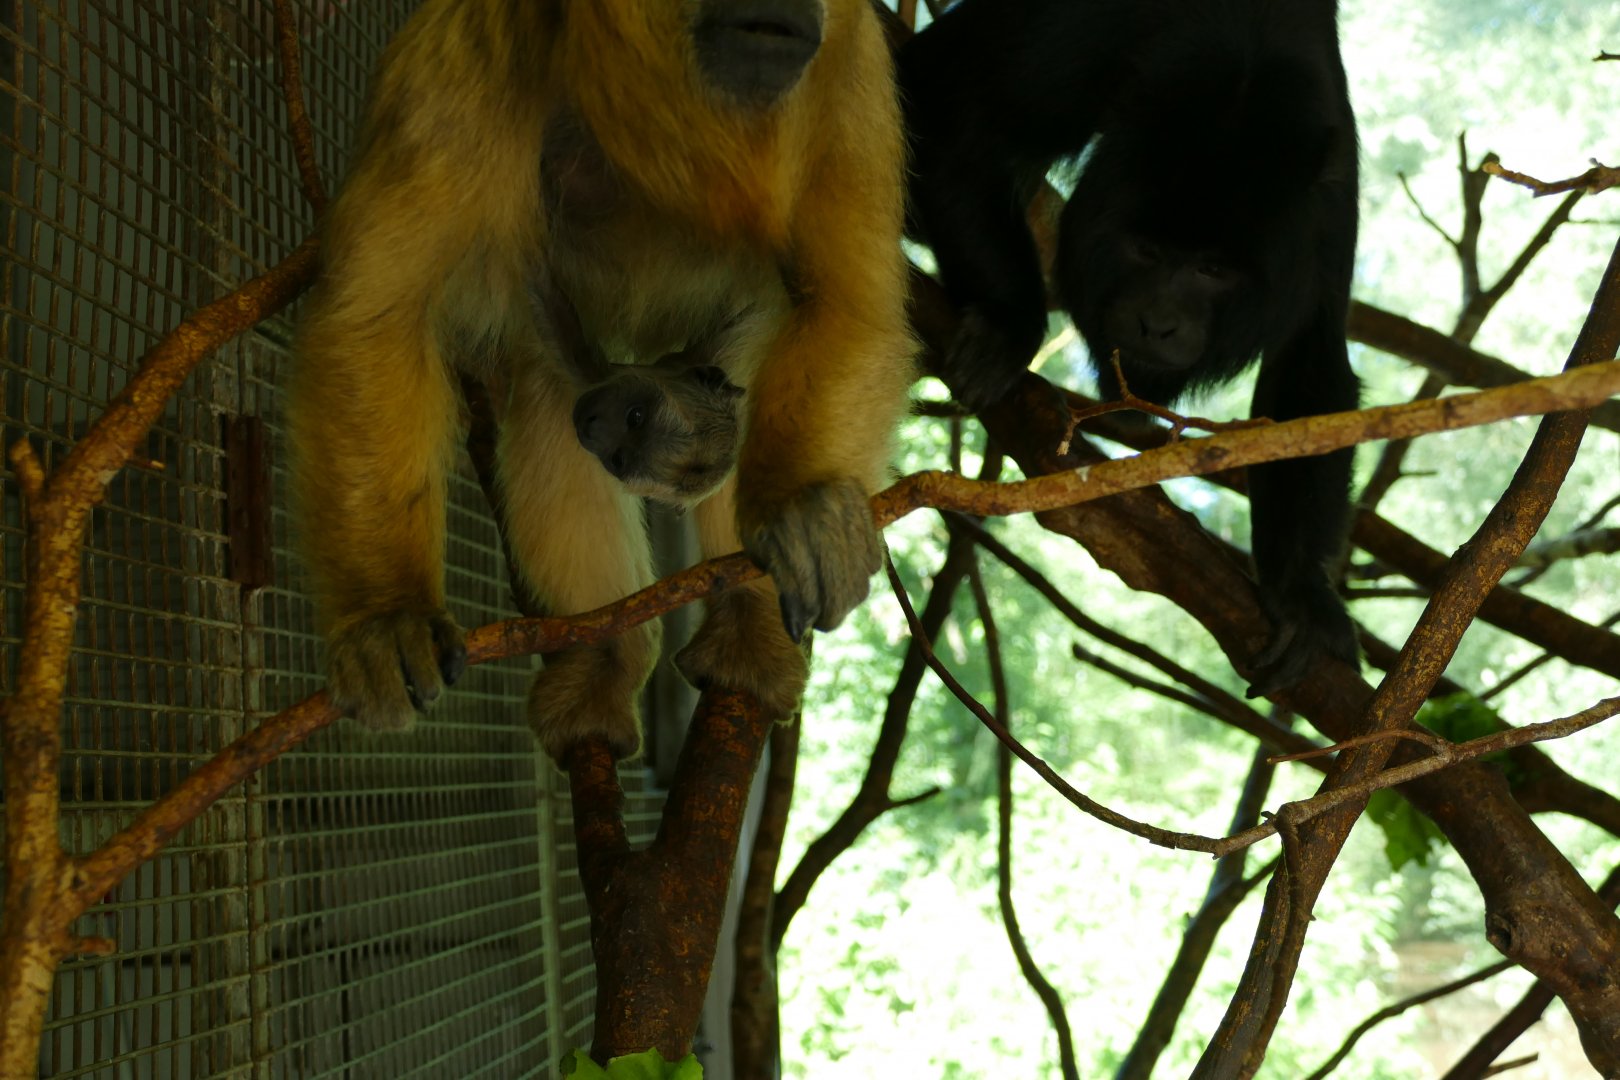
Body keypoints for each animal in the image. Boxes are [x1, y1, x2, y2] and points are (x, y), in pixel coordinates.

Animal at [287, 0, 913, 762]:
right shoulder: (474, 43)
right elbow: (378, 315)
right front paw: (386, 613)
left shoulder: (853, 66)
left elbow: (845, 305)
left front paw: (802, 504)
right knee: (544, 400)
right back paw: (604, 659)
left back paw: (747, 619)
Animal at [898, 0, 1360, 695]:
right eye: (1146, 249)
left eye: (1213, 270)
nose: (1158, 322)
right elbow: (960, 118)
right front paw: (1008, 324)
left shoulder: (1325, 197)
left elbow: (1311, 360)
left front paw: (1301, 595)